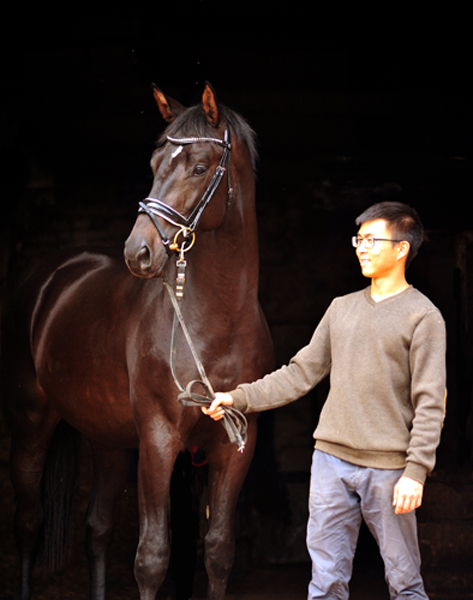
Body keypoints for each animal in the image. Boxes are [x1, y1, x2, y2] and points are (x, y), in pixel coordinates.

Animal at [0, 82, 272, 596]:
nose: (137, 251)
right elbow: (152, 557)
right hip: (30, 424)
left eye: (200, 167)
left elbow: (218, 551)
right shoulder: (159, 439)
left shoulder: (234, 445)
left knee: (97, 529)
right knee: (27, 523)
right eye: (154, 163)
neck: (218, 321)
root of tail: (50, 277)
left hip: (108, 441)